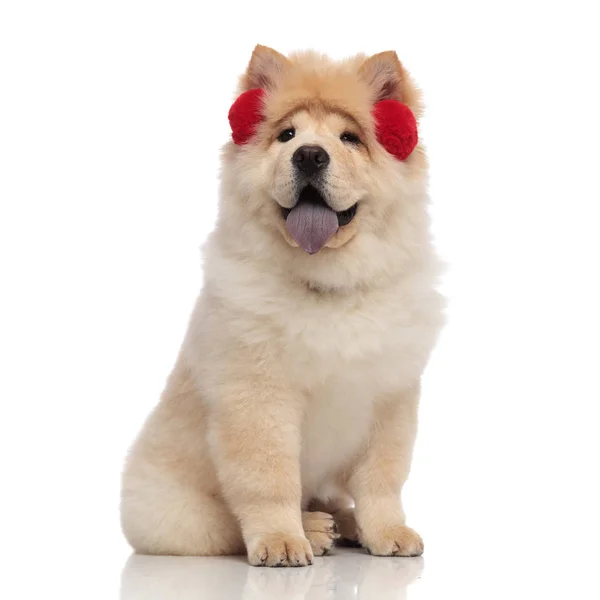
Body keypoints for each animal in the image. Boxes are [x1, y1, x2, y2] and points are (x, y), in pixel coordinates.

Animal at [119, 44, 442, 564]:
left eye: (350, 138)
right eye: (287, 135)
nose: (309, 154)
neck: (328, 281)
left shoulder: (389, 396)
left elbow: (381, 479)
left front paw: (387, 531)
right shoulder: (257, 396)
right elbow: (268, 480)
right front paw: (281, 540)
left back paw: (342, 523)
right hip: (183, 515)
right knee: (228, 523)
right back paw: (312, 529)